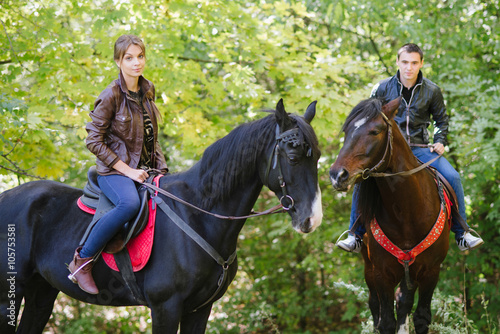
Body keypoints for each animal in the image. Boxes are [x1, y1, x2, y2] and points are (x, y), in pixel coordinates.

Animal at [0, 99, 324, 334]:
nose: (312, 219)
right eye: (292, 157)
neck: (199, 215)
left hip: (42, 293)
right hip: (10, 295)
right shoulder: (165, 307)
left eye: (318, 157)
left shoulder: (199, 310)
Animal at [330, 97, 452, 334]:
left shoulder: (431, 272)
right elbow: (385, 320)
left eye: (375, 131)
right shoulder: (381, 273)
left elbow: (421, 316)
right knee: (375, 304)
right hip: (370, 267)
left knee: (403, 301)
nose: (337, 175)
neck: (406, 212)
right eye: (346, 131)